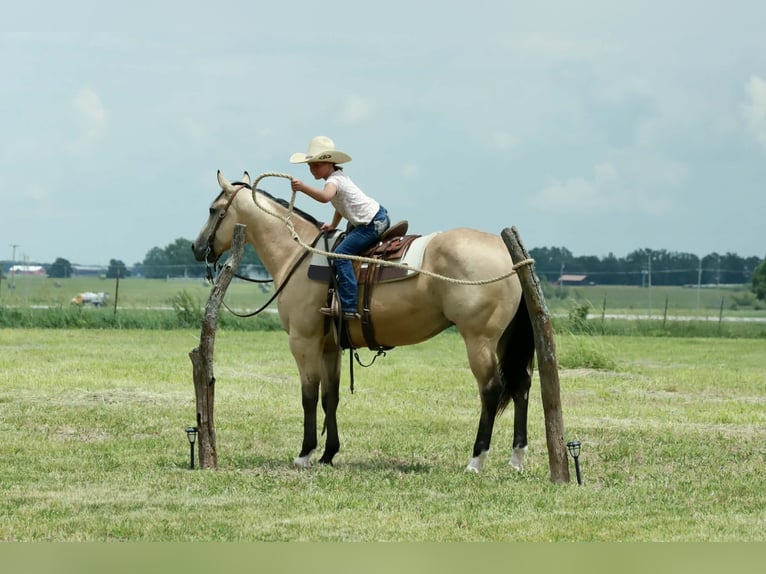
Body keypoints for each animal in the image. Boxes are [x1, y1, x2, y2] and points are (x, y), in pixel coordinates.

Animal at [191, 171, 536, 473]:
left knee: (491, 390)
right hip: (503, 340)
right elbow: (330, 398)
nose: (196, 248)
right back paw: (516, 458)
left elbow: (308, 396)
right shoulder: (330, 347)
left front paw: (305, 453)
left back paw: (476, 460)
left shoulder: (303, 341)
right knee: (521, 385)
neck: (297, 255)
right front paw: (328, 454)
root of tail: (509, 256)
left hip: (479, 339)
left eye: (213, 210)